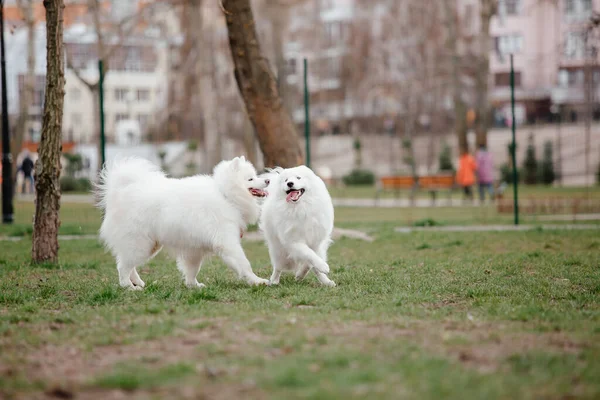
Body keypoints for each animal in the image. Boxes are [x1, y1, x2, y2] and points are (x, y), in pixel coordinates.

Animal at [95, 155, 270, 290]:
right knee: (123, 266)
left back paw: (138, 282)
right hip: (139, 244)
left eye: (256, 175)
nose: (267, 180)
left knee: (128, 263)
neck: (225, 195)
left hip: (149, 246)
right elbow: (244, 263)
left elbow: (192, 269)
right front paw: (257, 281)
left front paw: (194, 285)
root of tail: (120, 192)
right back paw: (128, 286)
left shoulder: (194, 249)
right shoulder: (227, 242)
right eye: (251, 178)